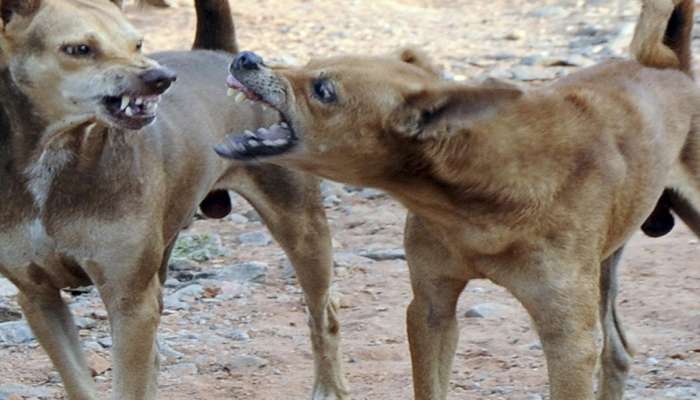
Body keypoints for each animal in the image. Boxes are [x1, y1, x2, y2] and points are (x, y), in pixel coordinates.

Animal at [0, 0, 348, 400]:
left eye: (137, 43)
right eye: (78, 49)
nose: (161, 78)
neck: (55, 157)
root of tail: (220, 53)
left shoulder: (130, 301)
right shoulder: (37, 297)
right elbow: (78, 381)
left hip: (301, 227)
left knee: (323, 313)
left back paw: (330, 386)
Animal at [216, 1, 700, 398]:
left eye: (324, 90)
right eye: (310, 65)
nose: (246, 57)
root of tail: (671, 66)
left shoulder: (569, 340)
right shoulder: (431, 309)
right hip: (604, 267)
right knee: (618, 351)